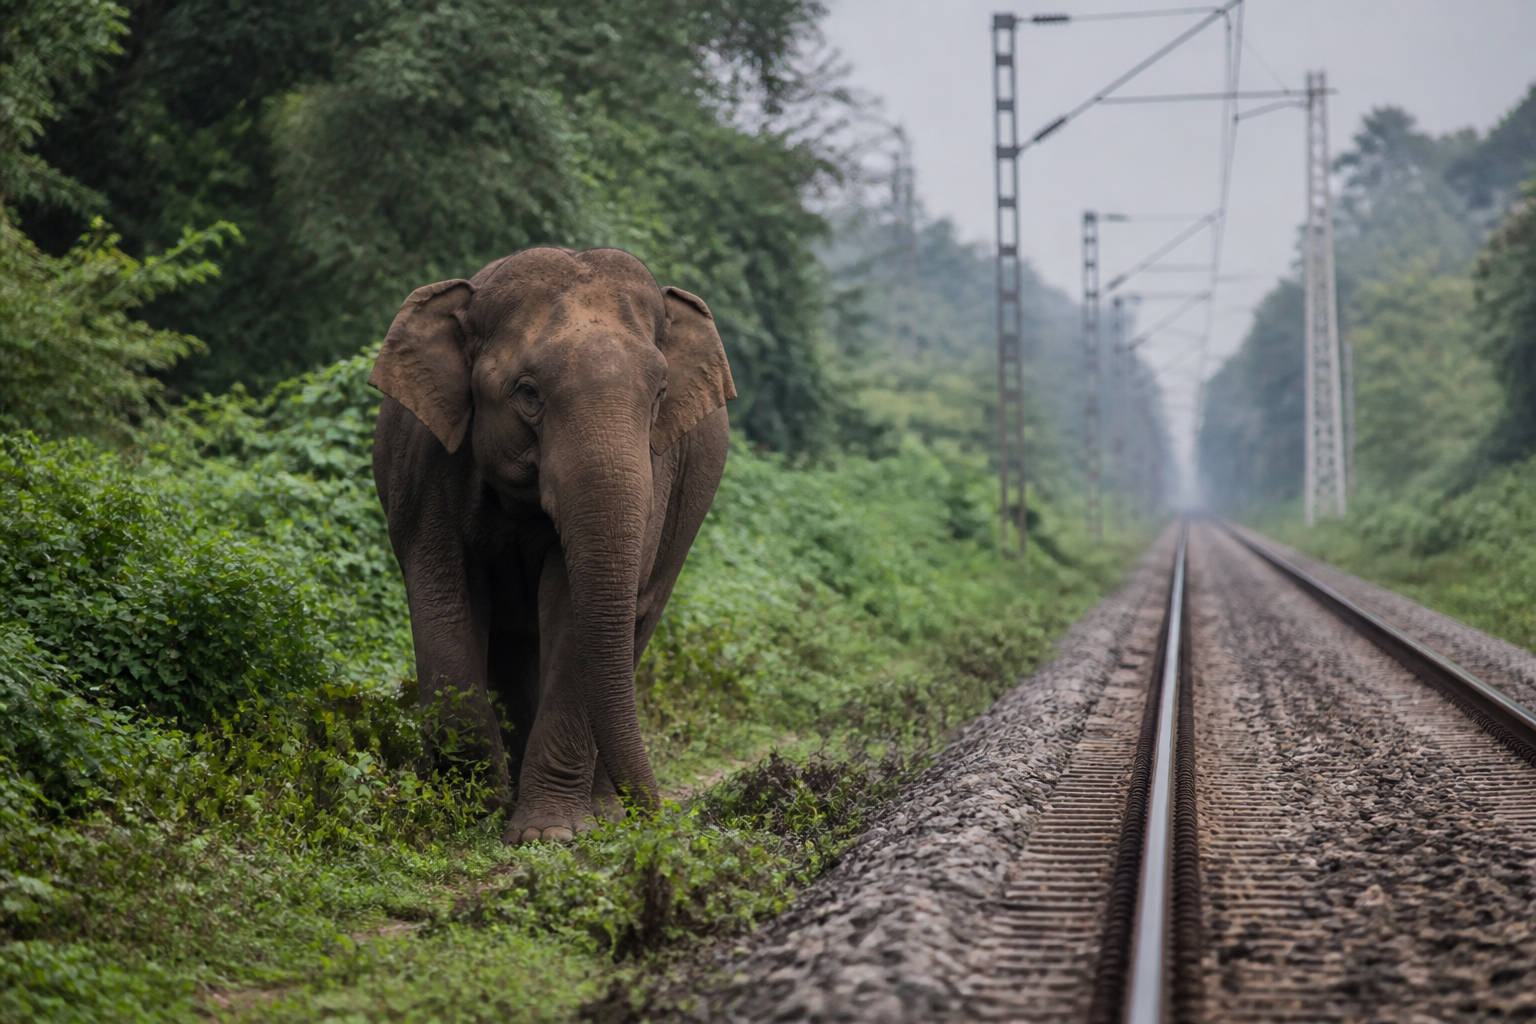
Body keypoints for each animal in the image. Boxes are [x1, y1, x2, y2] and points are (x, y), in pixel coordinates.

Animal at [369, 246, 734, 843]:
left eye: (660, 394)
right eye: (528, 393)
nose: (659, 820)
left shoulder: (658, 474)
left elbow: (571, 611)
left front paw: (548, 834)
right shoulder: (425, 462)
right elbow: (447, 600)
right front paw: (473, 809)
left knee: (634, 627)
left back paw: (603, 812)